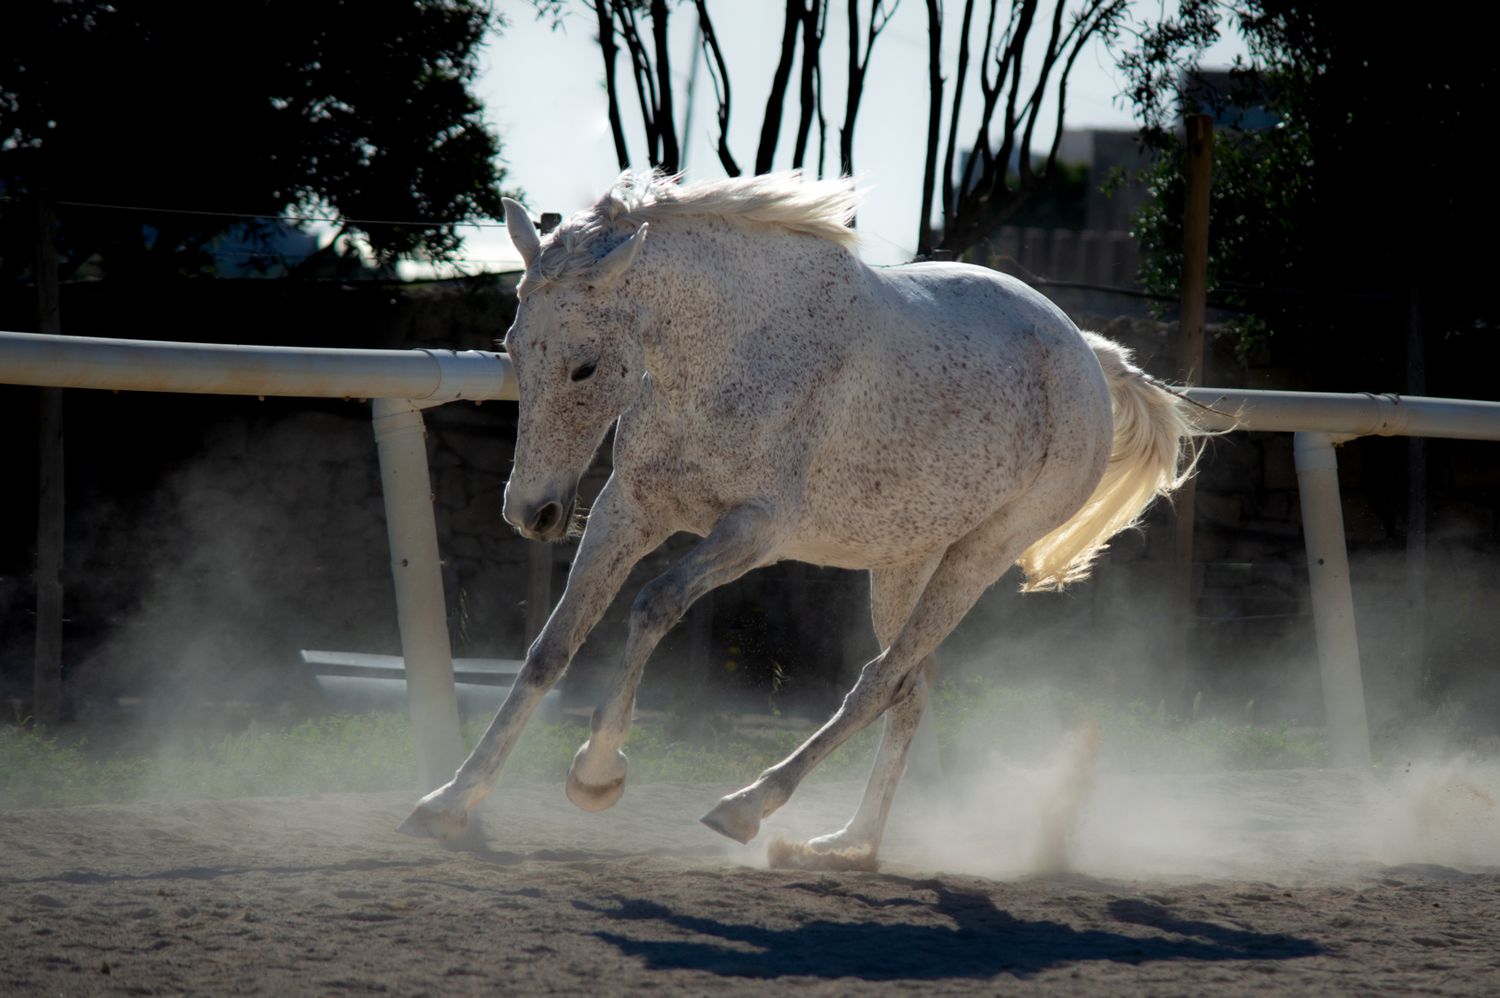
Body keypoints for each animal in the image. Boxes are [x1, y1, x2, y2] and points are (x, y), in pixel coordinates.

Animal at [398, 171, 1199, 863]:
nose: (531, 511)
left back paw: (748, 808)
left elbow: (653, 606)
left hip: (980, 556)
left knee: (878, 681)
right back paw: (848, 843)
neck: (728, 351)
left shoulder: (754, 530)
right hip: (902, 560)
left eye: (585, 366)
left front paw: (597, 773)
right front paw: (447, 804)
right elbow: (552, 647)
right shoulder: (630, 510)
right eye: (512, 347)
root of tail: (1090, 357)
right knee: (910, 689)